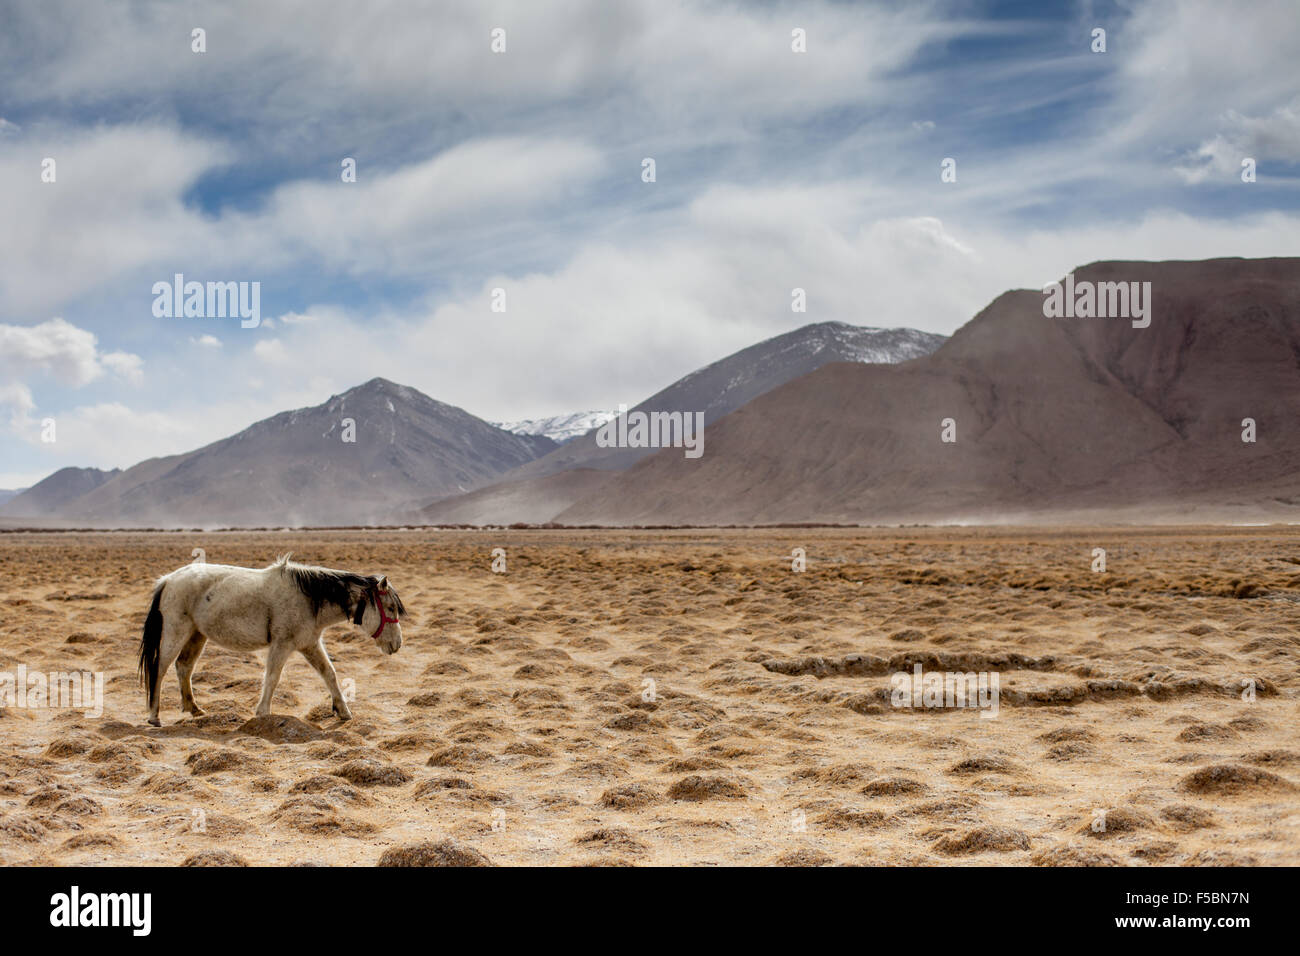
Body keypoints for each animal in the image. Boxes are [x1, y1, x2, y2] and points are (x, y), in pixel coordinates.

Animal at [137, 554, 405, 726]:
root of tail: (168, 580)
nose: (397, 645)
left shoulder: (309, 644)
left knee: (184, 667)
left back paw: (194, 709)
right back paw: (154, 716)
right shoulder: (282, 644)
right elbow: (273, 676)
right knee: (160, 668)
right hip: (176, 632)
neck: (309, 597)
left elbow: (329, 673)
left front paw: (343, 711)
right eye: (390, 608)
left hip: (196, 635)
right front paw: (263, 713)